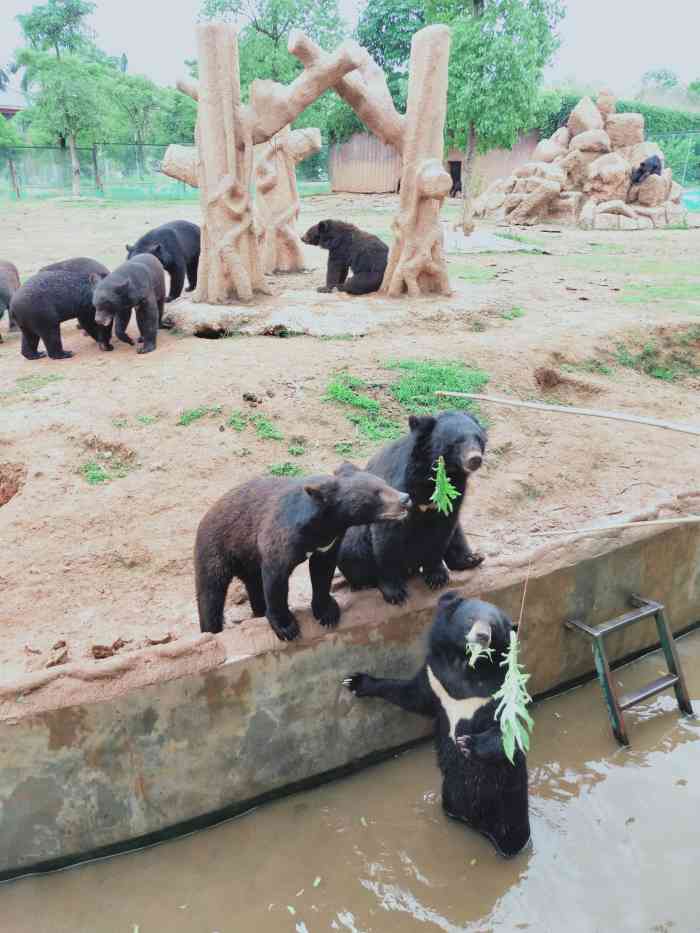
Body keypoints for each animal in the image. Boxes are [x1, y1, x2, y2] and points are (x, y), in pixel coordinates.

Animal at [193, 458, 410, 640]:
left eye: (384, 482)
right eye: (376, 493)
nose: (405, 498)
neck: (323, 526)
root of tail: (207, 513)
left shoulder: (328, 544)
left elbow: (322, 572)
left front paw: (327, 613)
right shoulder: (280, 534)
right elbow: (276, 578)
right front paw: (287, 627)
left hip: (248, 558)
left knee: (253, 584)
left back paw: (258, 612)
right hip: (217, 548)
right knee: (210, 593)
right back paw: (211, 630)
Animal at [338, 410, 486, 604]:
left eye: (478, 439)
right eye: (457, 441)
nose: (475, 459)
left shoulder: (454, 494)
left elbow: (443, 529)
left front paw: (437, 576)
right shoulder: (401, 484)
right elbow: (388, 535)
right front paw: (394, 591)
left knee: (457, 534)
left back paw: (472, 558)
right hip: (354, 540)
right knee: (353, 550)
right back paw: (364, 583)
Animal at [344, 592, 532, 856]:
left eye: (494, 626)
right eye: (470, 618)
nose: (482, 636)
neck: (468, 666)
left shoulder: (502, 691)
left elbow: (509, 731)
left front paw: (467, 744)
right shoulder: (435, 677)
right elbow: (411, 696)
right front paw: (356, 681)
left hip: (509, 806)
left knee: (513, 835)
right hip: (450, 794)